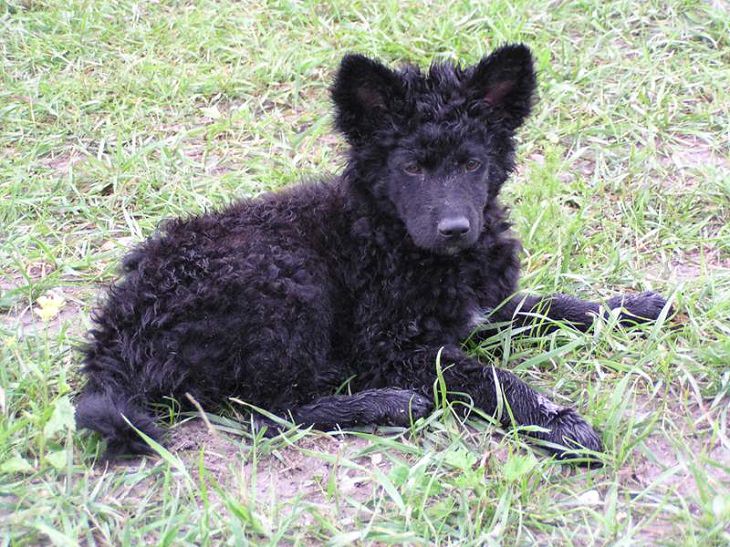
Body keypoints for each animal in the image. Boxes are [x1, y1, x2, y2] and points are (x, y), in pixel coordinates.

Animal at [77, 45, 668, 460]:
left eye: (472, 163)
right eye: (411, 168)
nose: (456, 228)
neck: (394, 237)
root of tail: (116, 334)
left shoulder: (483, 306)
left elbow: (549, 305)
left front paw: (631, 307)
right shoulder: (394, 345)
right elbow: (489, 377)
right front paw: (559, 422)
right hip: (286, 287)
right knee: (265, 411)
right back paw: (388, 403)